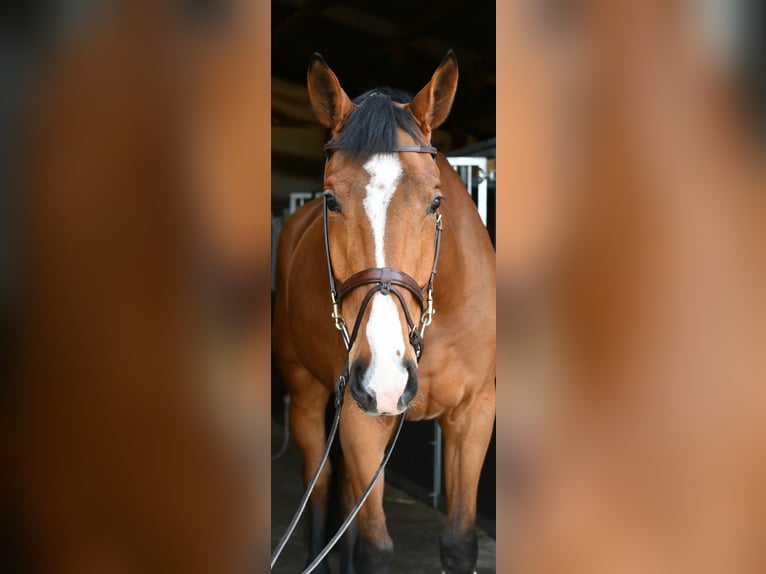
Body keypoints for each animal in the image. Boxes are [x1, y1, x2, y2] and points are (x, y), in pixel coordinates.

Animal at [272, 51, 496, 573]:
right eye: (331, 199)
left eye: (435, 200)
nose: (387, 377)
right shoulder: (363, 420)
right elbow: (376, 547)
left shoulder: (474, 414)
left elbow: (460, 542)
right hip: (308, 396)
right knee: (318, 485)